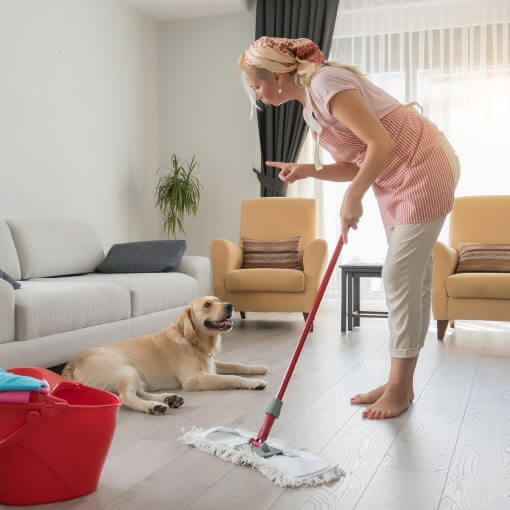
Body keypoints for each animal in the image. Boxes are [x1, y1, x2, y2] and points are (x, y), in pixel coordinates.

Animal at [62, 296, 268, 412]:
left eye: (218, 300)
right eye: (208, 304)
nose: (230, 305)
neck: (192, 340)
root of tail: (72, 363)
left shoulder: (210, 362)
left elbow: (236, 365)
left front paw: (258, 368)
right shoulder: (194, 379)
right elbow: (232, 377)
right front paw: (254, 383)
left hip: (134, 374)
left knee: (138, 392)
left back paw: (168, 399)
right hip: (124, 370)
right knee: (126, 397)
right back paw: (154, 407)